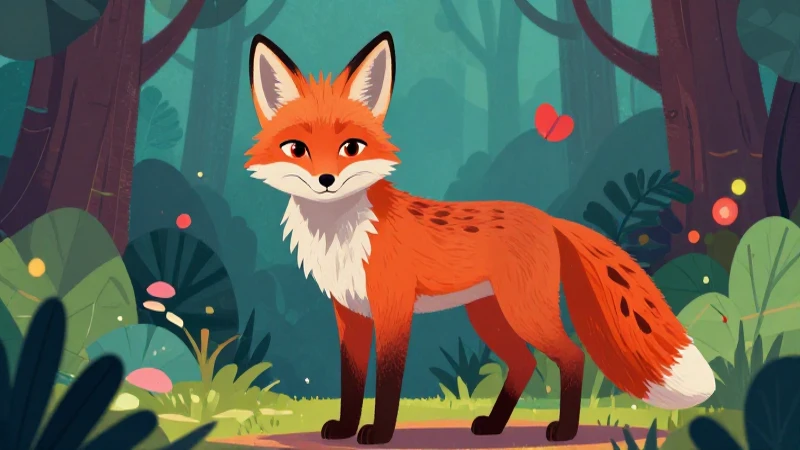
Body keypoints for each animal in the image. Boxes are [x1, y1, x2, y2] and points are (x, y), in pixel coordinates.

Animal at [244, 31, 715, 445]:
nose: (326, 180)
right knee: (525, 363)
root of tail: (549, 219)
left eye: (351, 148)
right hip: (489, 316)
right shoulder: (350, 314)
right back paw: (493, 425)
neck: (340, 236)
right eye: (296, 149)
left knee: (571, 355)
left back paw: (564, 431)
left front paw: (379, 434)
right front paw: (344, 428)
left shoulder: (393, 310)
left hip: (524, 312)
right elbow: (351, 382)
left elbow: (389, 383)